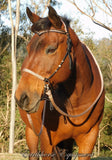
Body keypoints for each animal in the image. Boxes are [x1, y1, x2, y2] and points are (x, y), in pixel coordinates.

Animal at [14, 5, 104, 159]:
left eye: (51, 49)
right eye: (28, 48)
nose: (22, 97)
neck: (78, 101)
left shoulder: (89, 139)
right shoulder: (46, 141)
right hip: (31, 131)